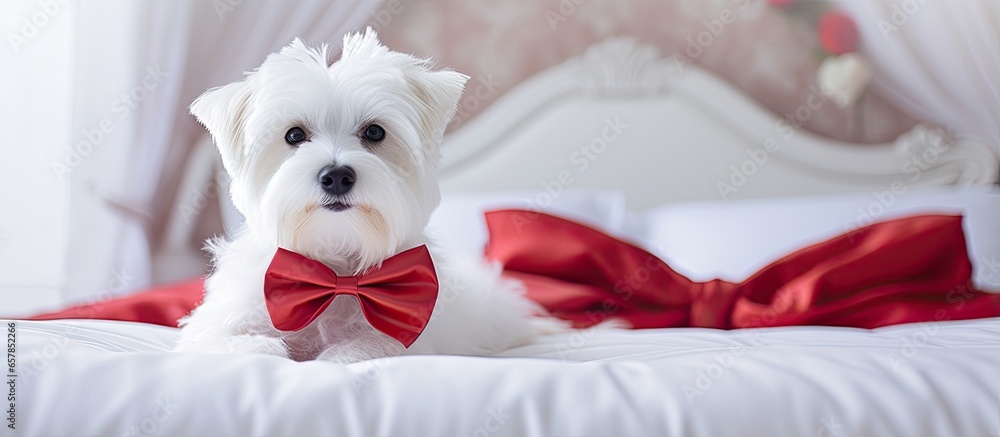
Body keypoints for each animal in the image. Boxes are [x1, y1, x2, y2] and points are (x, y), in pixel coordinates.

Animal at [172, 29, 548, 362]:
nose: (336, 176)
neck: (335, 267)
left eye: (375, 132)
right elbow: (226, 340)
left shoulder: (409, 332)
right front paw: (263, 348)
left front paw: (337, 355)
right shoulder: (215, 323)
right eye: (294, 135)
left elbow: (369, 347)